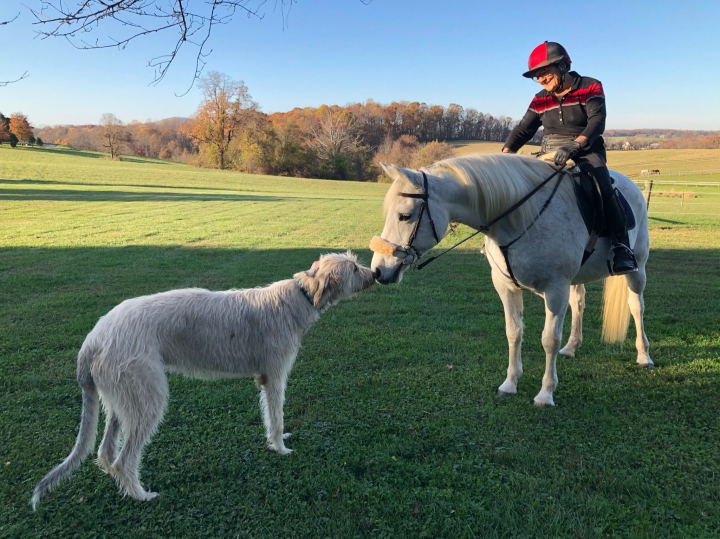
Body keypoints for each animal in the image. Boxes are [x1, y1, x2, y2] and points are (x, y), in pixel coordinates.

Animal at [31, 251, 374, 508]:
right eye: (354, 267)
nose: (376, 274)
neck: (301, 296)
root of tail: (93, 338)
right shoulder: (275, 376)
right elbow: (275, 416)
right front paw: (280, 448)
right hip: (146, 394)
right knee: (124, 460)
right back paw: (140, 495)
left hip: (121, 396)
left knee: (105, 451)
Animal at [372, 152, 652, 404]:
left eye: (404, 216)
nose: (378, 270)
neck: (520, 218)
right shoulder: (506, 288)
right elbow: (514, 333)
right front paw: (510, 383)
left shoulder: (556, 289)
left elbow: (549, 339)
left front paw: (545, 393)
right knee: (579, 303)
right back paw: (572, 347)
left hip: (637, 269)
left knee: (637, 307)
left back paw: (644, 356)